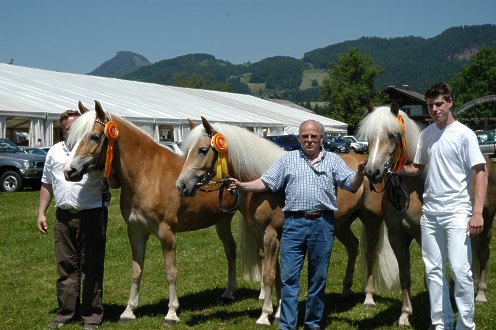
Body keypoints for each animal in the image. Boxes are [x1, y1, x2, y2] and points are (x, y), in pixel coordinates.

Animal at [63, 101, 239, 324]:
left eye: (94, 136)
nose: (69, 171)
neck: (147, 175)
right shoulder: (136, 232)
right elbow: (136, 271)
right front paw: (129, 311)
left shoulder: (167, 233)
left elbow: (170, 272)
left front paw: (172, 313)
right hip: (222, 221)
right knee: (231, 251)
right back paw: (229, 294)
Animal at [174, 117, 400, 326]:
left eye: (203, 150)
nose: (182, 185)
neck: (265, 187)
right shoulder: (268, 236)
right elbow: (279, 275)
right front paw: (278, 311)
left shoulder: (271, 235)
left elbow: (269, 275)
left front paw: (265, 316)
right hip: (342, 224)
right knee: (353, 247)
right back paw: (346, 290)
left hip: (371, 220)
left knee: (371, 253)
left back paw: (368, 299)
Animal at [356, 104, 496, 328]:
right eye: (368, 137)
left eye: (392, 135)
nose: (372, 172)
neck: (409, 189)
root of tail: (487, 161)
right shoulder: (397, 238)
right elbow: (405, 276)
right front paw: (405, 315)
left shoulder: (424, 237)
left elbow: (430, 278)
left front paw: (433, 319)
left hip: (487, 225)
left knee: (483, 254)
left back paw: (481, 295)